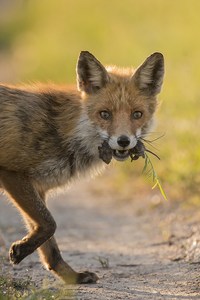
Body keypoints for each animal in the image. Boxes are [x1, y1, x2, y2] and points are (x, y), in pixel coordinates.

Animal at [0, 51, 164, 284]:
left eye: (137, 114)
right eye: (104, 114)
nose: (123, 141)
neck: (61, 129)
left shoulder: (37, 187)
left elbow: (50, 243)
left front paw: (71, 277)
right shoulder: (12, 174)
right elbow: (50, 223)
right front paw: (21, 250)